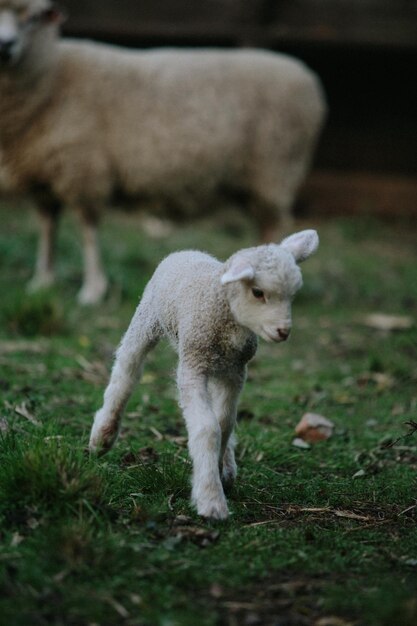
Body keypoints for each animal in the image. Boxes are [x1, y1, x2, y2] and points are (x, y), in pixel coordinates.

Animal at [0, 0, 324, 302]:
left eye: (31, 18)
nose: (6, 45)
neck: (53, 75)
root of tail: (311, 83)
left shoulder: (83, 168)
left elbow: (88, 230)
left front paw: (92, 290)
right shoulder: (42, 176)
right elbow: (47, 229)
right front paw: (42, 282)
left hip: (274, 169)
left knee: (273, 224)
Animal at [89, 228, 318, 516]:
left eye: (292, 295)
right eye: (258, 292)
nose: (283, 332)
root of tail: (187, 251)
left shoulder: (235, 372)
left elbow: (225, 423)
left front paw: (218, 471)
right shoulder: (192, 368)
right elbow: (208, 428)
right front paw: (211, 500)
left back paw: (228, 468)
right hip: (146, 320)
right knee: (127, 370)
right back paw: (103, 436)